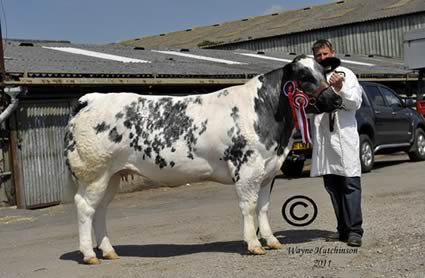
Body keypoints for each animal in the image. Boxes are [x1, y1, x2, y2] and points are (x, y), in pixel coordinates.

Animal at [65, 54, 342, 264]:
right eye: (304, 77)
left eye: (323, 72)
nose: (336, 99)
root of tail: (92, 98)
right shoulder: (247, 169)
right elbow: (249, 206)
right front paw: (253, 244)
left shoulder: (269, 170)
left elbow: (263, 207)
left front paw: (272, 241)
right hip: (94, 173)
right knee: (85, 207)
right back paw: (89, 254)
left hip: (112, 175)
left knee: (100, 209)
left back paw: (109, 251)